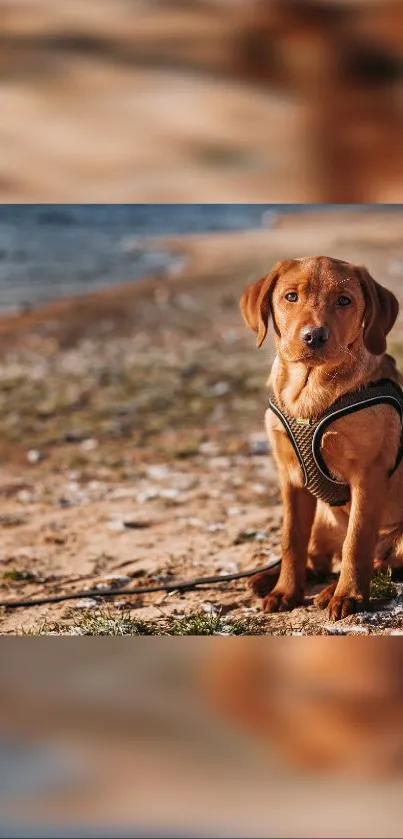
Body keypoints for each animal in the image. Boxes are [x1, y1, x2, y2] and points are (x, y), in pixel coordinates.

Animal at [241, 258, 402, 624]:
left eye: (344, 300)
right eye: (290, 296)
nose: (314, 336)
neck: (309, 390)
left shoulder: (368, 476)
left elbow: (356, 541)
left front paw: (348, 596)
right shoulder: (289, 477)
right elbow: (291, 540)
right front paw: (286, 591)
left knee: (378, 561)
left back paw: (332, 590)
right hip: (322, 520)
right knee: (317, 558)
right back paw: (267, 579)